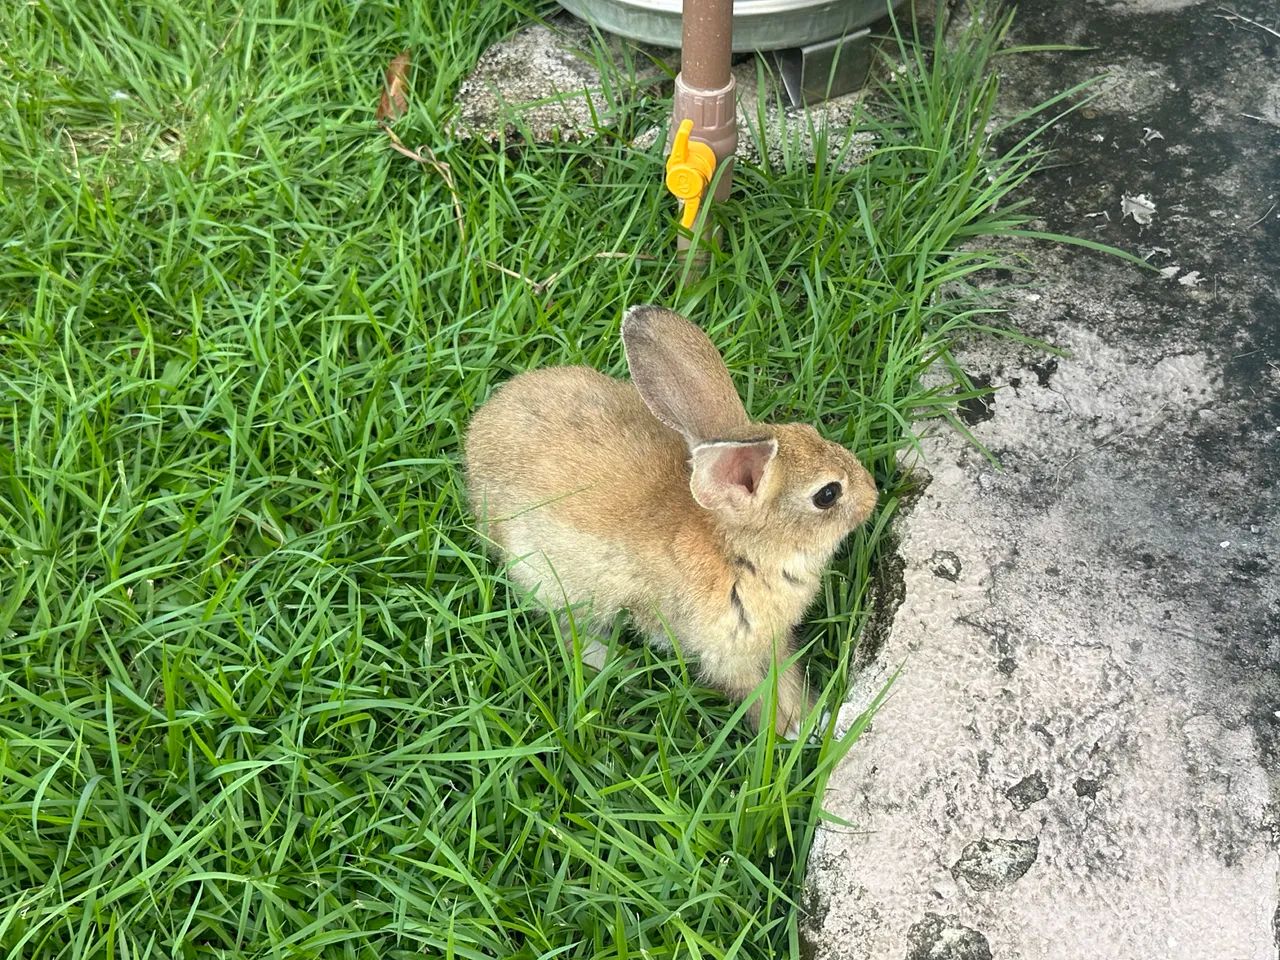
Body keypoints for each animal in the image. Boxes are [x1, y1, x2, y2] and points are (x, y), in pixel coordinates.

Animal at [464, 305, 878, 737]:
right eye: (827, 494)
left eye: (810, 430)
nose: (873, 493)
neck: (739, 551)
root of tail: (476, 438)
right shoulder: (727, 652)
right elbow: (758, 692)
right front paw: (797, 728)